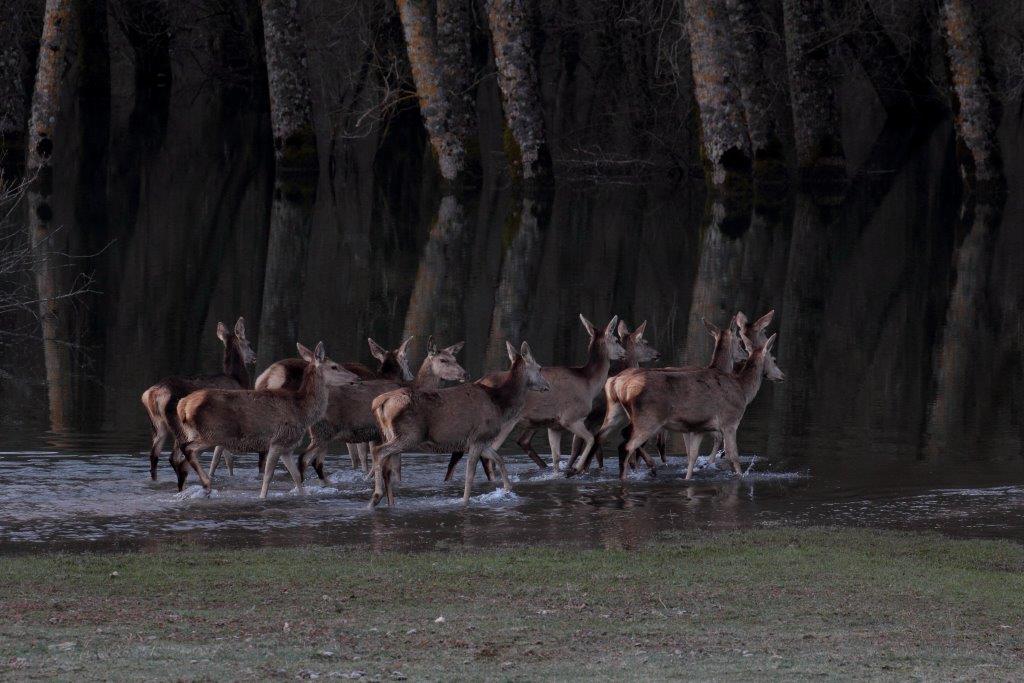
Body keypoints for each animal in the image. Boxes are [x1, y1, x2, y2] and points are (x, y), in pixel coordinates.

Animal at [141, 319, 256, 481]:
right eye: (249, 343)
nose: (254, 356)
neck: (238, 380)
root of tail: (154, 394)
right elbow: (222, 458)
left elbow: (226, 458)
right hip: (179, 422)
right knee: (174, 456)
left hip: (158, 424)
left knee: (154, 455)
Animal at [172, 342, 356, 497]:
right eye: (334, 366)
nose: (356, 377)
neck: (302, 412)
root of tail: (183, 405)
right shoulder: (277, 440)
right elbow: (268, 476)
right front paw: (262, 497)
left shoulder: (287, 447)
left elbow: (296, 476)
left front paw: (303, 495)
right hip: (212, 433)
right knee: (186, 449)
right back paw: (206, 483)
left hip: (196, 433)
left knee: (183, 461)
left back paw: (185, 489)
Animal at [366, 342, 548, 507]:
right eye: (539, 368)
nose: (547, 386)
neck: (499, 405)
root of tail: (379, 401)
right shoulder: (478, 437)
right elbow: (470, 474)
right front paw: (464, 501)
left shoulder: (481, 440)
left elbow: (500, 459)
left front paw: (508, 490)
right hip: (409, 435)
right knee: (378, 451)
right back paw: (376, 495)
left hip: (390, 434)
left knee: (387, 468)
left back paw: (387, 503)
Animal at [446, 317, 626, 481]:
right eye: (616, 339)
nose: (624, 353)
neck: (588, 383)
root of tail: (479, 381)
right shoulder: (571, 417)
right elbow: (590, 439)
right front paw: (574, 470)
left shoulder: (554, 426)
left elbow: (556, 457)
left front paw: (558, 475)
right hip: (503, 423)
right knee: (488, 454)